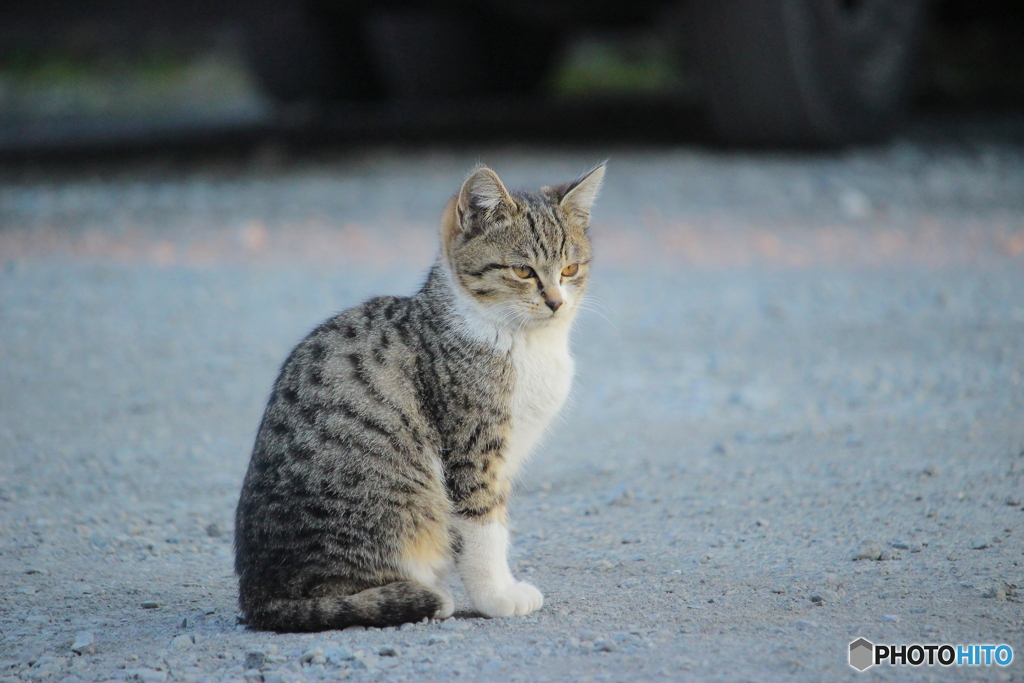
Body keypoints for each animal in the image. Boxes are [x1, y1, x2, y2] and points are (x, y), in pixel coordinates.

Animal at [235, 162, 602, 634]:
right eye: (523, 272)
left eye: (570, 268)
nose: (556, 302)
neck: (525, 342)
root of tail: (257, 595)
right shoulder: (472, 452)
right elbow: (482, 530)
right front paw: (497, 596)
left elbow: (497, 523)